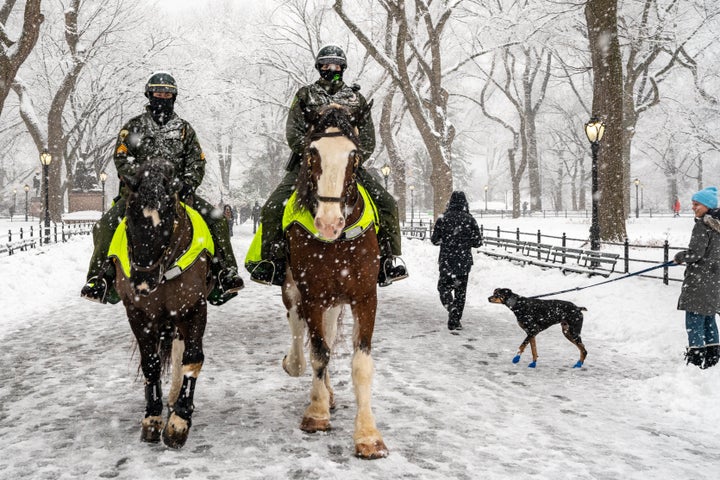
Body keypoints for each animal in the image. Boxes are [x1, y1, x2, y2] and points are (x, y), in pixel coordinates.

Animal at [112, 159, 214, 448]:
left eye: (167, 220)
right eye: (130, 218)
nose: (142, 284)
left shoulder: (194, 308)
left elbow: (193, 358)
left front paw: (179, 421)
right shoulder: (137, 313)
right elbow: (151, 362)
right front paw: (153, 417)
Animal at [280, 104, 388, 458]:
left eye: (354, 157)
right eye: (311, 154)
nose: (329, 223)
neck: (338, 243)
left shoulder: (365, 298)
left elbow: (360, 364)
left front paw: (368, 435)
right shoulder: (312, 296)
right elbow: (318, 353)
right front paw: (316, 413)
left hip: (334, 303)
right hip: (295, 291)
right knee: (301, 336)